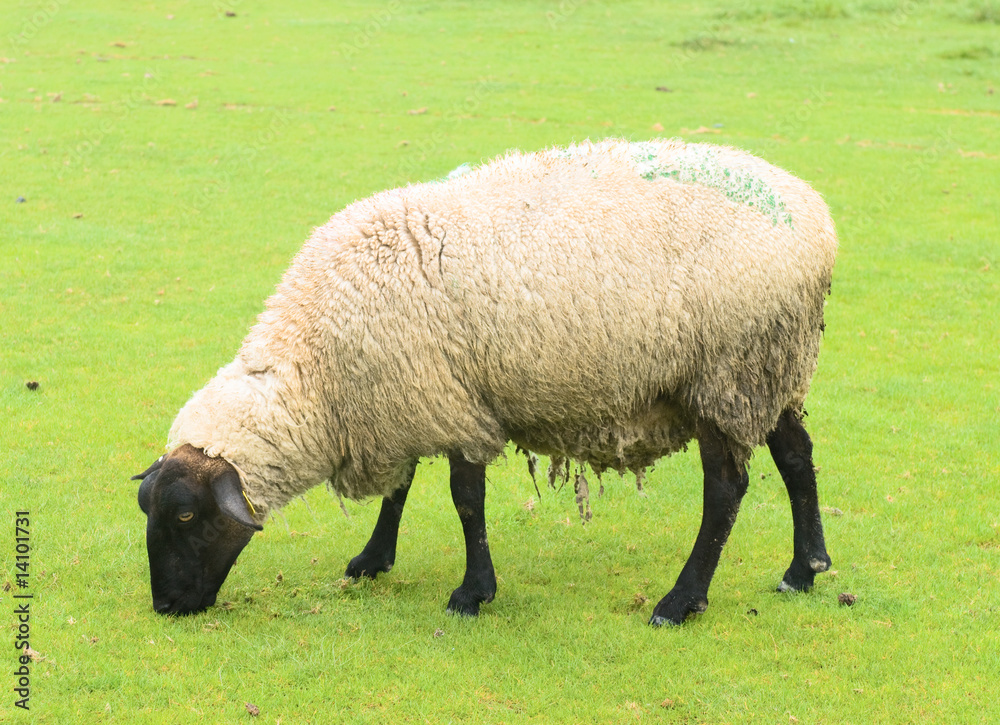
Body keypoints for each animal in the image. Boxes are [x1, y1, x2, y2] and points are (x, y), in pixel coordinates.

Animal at [133, 137, 836, 624]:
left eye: (187, 515)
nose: (166, 607)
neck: (320, 376)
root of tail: (813, 215)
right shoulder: (409, 396)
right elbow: (401, 490)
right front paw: (372, 559)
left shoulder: (453, 406)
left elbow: (464, 502)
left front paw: (472, 594)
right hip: (774, 369)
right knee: (798, 459)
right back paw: (805, 569)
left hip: (728, 371)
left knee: (726, 490)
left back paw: (681, 600)